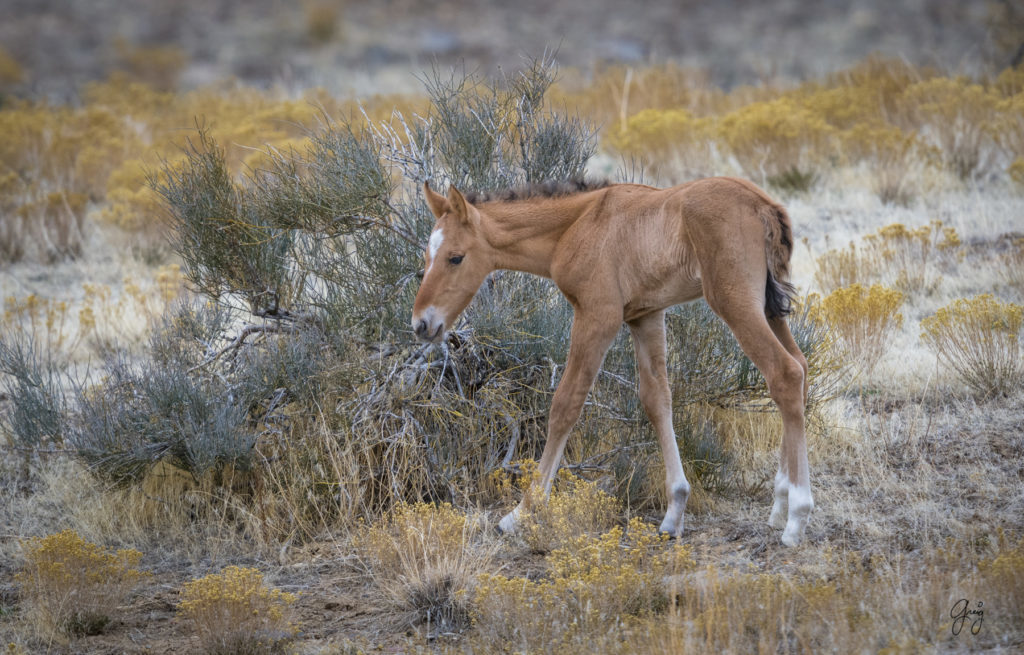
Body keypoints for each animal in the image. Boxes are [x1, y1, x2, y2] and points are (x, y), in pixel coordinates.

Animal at [411, 176, 811, 544]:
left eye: (455, 257)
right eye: (427, 257)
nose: (421, 324)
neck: (579, 223)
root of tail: (763, 205)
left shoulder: (598, 315)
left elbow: (566, 404)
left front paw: (522, 512)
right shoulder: (645, 316)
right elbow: (657, 400)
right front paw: (674, 511)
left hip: (734, 301)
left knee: (784, 373)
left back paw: (796, 517)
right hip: (767, 309)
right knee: (800, 366)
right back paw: (779, 504)